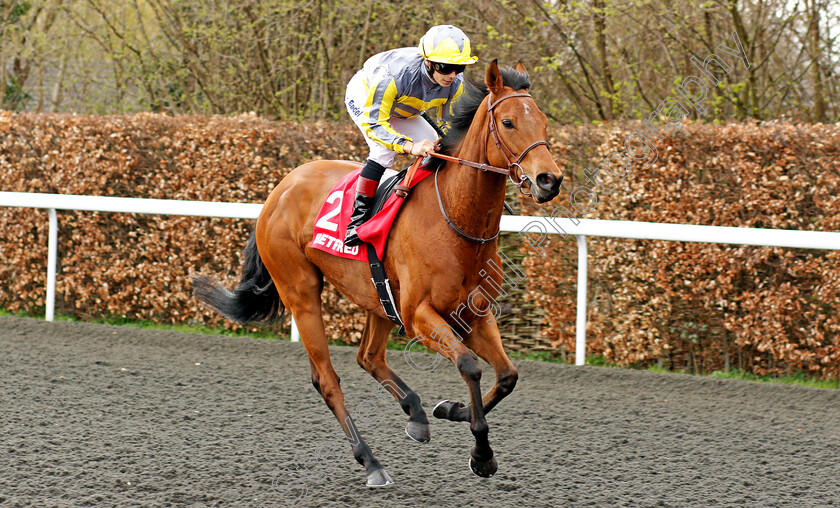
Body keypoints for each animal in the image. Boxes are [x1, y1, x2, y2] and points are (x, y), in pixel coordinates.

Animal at [192, 60, 564, 488]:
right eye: (507, 122)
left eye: (542, 120)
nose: (549, 180)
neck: (455, 219)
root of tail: (280, 188)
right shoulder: (419, 315)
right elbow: (470, 366)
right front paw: (481, 453)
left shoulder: (475, 312)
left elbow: (507, 375)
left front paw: (451, 410)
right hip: (300, 291)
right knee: (327, 379)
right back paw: (371, 462)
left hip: (376, 296)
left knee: (368, 357)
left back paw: (416, 414)